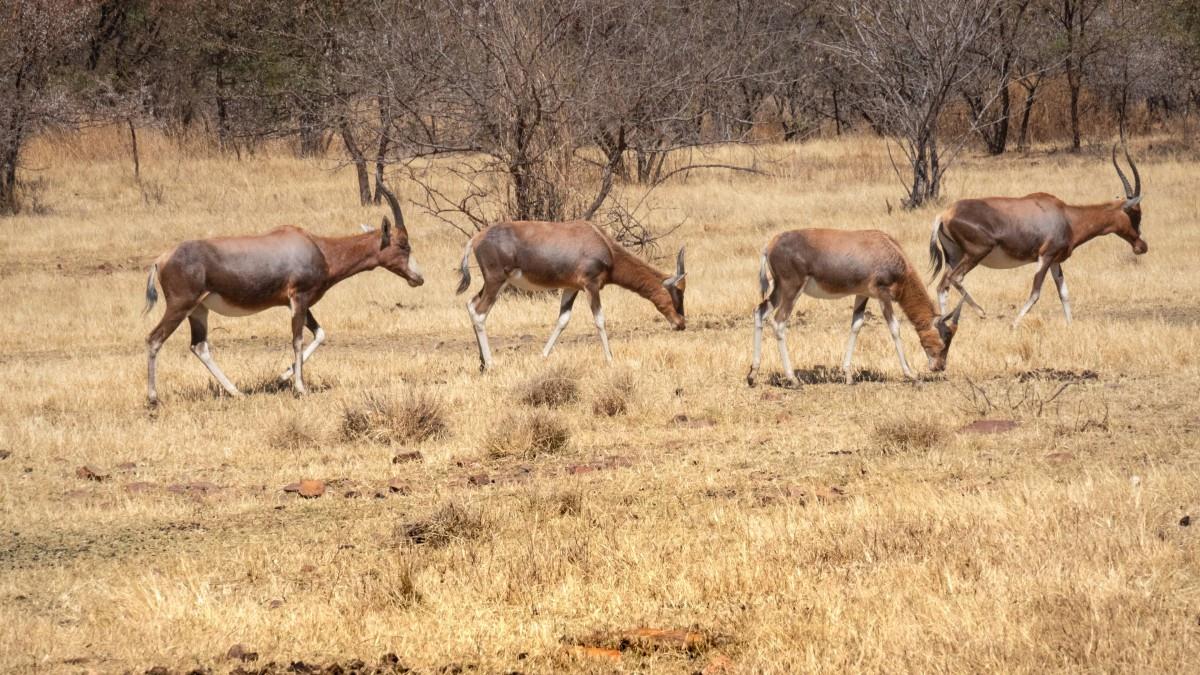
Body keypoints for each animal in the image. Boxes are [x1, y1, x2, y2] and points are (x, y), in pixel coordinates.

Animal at [142, 183, 424, 403]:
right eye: (403, 244)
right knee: (154, 339)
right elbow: (297, 340)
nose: (418, 278)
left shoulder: (301, 303)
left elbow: (320, 335)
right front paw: (300, 388)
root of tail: (160, 259)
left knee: (199, 346)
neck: (317, 246)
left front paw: (281, 377)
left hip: (199, 310)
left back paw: (236, 392)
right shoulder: (299, 298)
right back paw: (153, 398)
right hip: (180, 306)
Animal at [453, 219, 686, 367]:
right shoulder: (591, 286)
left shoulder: (571, 287)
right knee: (480, 313)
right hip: (496, 281)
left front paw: (542, 356)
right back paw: (491, 363)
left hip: (495, 283)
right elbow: (600, 320)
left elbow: (563, 320)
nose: (681, 324)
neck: (600, 240)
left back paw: (482, 363)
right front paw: (610, 360)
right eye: (679, 290)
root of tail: (476, 238)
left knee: (471, 305)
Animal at [744, 227, 960, 386]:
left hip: (778, 289)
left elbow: (856, 325)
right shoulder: (882, 294)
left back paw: (752, 376)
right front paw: (911, 375)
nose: (939, 367)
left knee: (760, 312)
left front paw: (848, 377)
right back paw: (793, 380)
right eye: (944, 339)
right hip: (791, 289)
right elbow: (894, 328)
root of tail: (770, 245)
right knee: (779, 322)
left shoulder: (862, 294)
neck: (886, 247)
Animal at [926, 144, 1142, 326]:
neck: (1065, 215)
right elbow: (1035, 293)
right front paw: (1013, 325)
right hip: (976, 254)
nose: (1142, 246)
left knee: (942, 286)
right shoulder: (1045, 257)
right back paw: (981, 312)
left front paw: (1070, 326)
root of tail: (944, 215)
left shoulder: (1055, 261)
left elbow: (1064, 293)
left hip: (954, 257)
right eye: (1136, 213)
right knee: (955, 279)